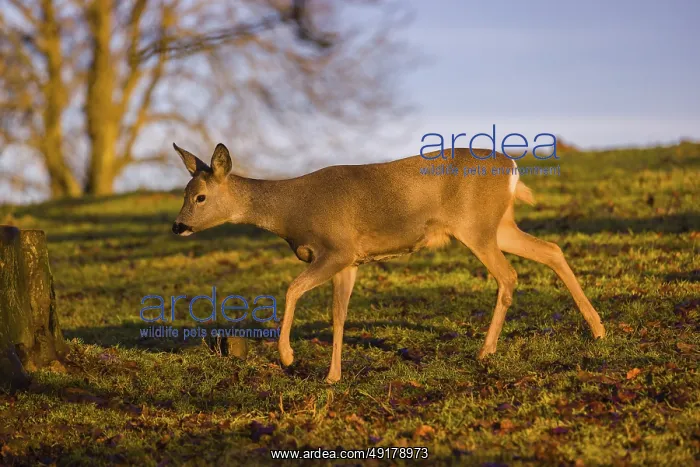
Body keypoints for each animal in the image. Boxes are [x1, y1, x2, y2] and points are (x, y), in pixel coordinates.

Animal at [171, 142, 606, 383]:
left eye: (200, 197)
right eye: (184, 192)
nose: (177, 226)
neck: (291, 213)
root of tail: (513, 169)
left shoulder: (338, 248)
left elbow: (293, 288)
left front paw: (288, 357)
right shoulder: (351, 261)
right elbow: (339, 315)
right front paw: (333, 376)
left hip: (477, 226)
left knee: (509, 274)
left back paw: (486, 351)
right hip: (499, 225)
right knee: (551, 249)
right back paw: (598, 330)